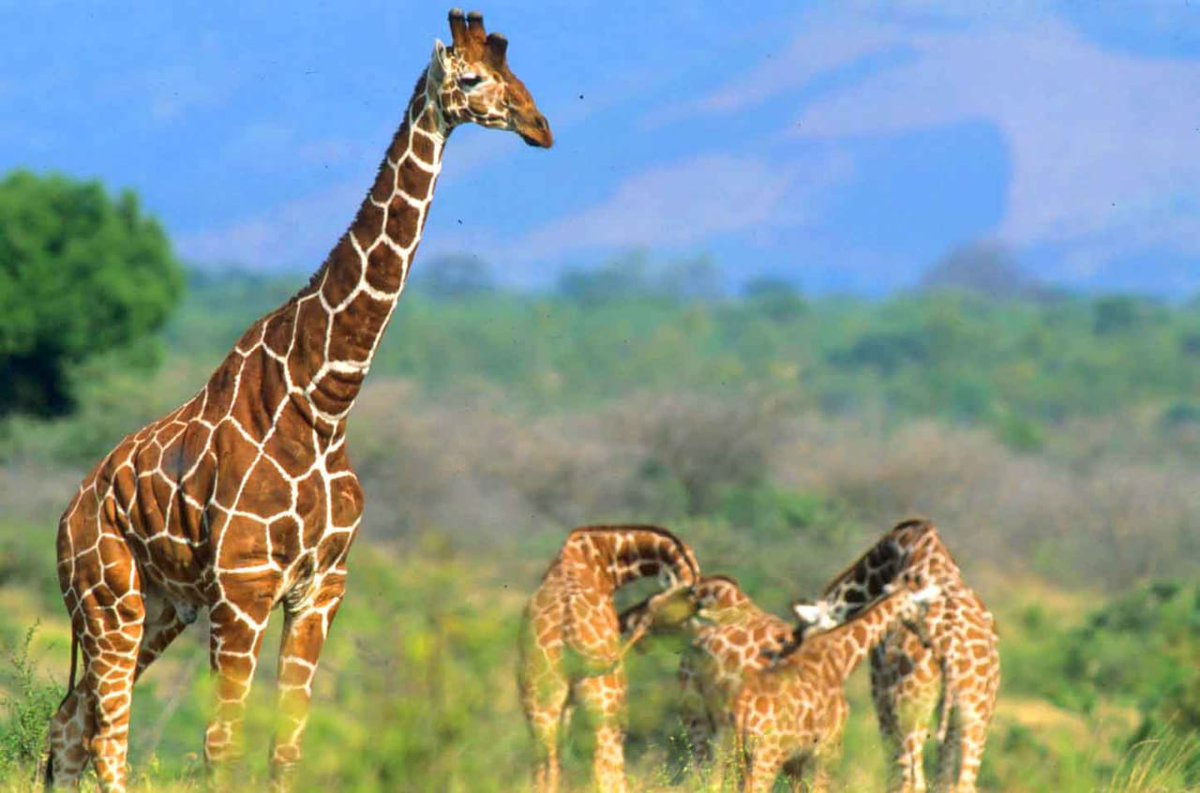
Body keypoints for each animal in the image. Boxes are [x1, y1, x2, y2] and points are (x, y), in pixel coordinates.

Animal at [44, 11, 551, 792]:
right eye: (471, 79)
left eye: (517, 74)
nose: (539, 126)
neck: (325, 398)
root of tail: (65, 519)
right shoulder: (244, 590)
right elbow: (222, 743)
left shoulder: (321, 587)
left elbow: (287, 745)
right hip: (110, 600)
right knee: (105, 736)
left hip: (160, 605)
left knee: (70, 723)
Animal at [517, 525, 701, 793]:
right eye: (687, 605)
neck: (603, 557)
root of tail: (568, 632)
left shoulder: (564, 706)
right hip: (607, 703)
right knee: (605, 765)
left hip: (540, 702)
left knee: (544, 766)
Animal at [734, 580, 942, 793]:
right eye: (922, 608)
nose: (927, 639)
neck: (841, 659)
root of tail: (744, 710)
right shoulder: (828, 749)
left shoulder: (798, 760)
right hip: (767, 755)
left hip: (742, 756)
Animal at [792, 519, 1000, 793]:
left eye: (808, 644)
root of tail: (951, 652)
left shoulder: (882, 694)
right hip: (974, 712)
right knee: (960, 783)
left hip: (912, 707)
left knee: (914, 780)